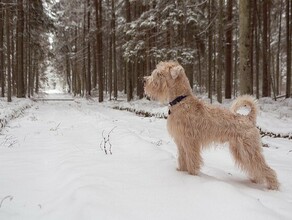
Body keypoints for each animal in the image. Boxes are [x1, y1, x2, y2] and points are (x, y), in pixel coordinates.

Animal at [144, 61, 278, 190]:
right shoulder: (181, 142)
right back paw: (256, 181)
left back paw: (273, 186)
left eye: (159, 74)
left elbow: (192, 161)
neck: (181, 101)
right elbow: (182, 159)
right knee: (256, 168)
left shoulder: (190, 142)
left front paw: (192, 176)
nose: (144, 80)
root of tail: (248, 118)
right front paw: (181, 172)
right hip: (240, 150)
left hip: (248, 149)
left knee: (265, 168)